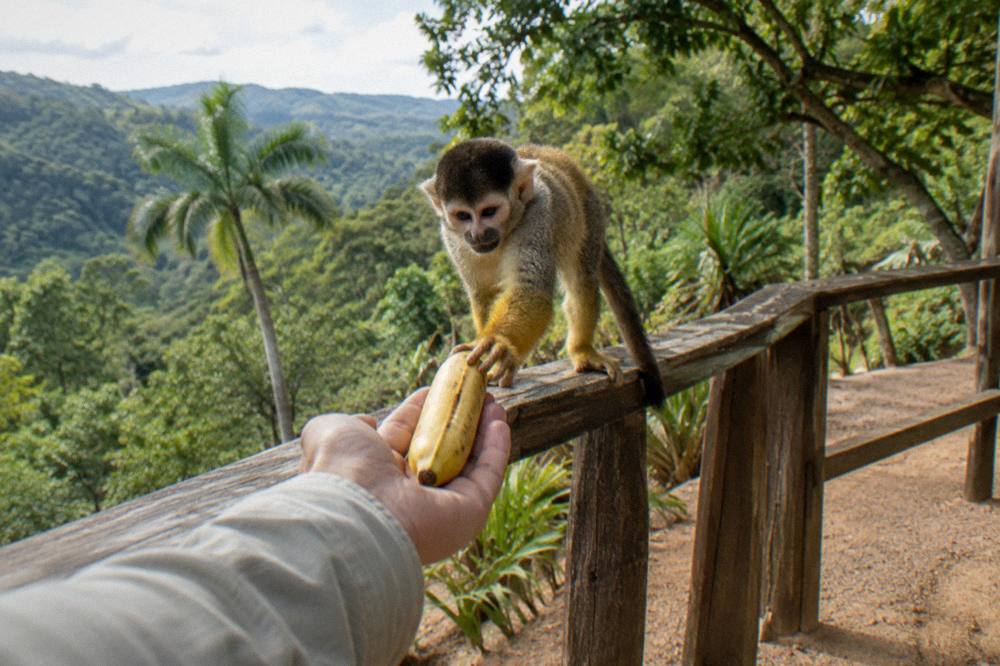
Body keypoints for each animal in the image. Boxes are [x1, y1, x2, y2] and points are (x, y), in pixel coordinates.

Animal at [420, 138, 665, 407]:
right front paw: (491, 351)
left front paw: (499, 343)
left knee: (582, 279)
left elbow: (532, 289)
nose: (477, 234)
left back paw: (582, 350)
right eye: (463, 215)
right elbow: (483, 293)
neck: (506, 231)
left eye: (489, 211)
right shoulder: (452, 236)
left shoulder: (537, 216)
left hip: (589, 213)